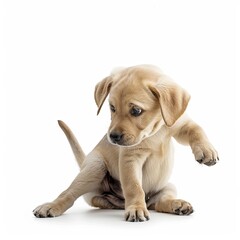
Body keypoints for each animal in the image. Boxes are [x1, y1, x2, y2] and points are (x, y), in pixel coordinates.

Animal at [32, 64, 218, 221]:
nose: (113, 137)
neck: (154, 131)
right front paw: (136, 208)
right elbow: (134, 186)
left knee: (158, 203)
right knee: (69, 194)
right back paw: (51, 206)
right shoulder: (130, 158)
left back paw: (177, 204)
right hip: (95, 168)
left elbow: (197, 130)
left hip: (167, 186)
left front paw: (207, 151)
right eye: (112, 108)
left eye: (136, 110)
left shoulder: (181, 124)